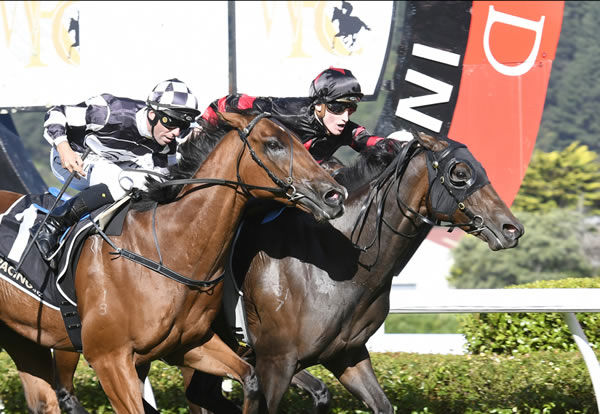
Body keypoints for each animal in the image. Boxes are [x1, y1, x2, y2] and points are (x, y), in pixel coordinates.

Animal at [0, 111, 346, 414]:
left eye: (302, 141)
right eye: (273, 143)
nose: (334, 195)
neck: (167, 250)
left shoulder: (190, 345)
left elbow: (250, 381)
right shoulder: (109, 359)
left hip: (23, 338)